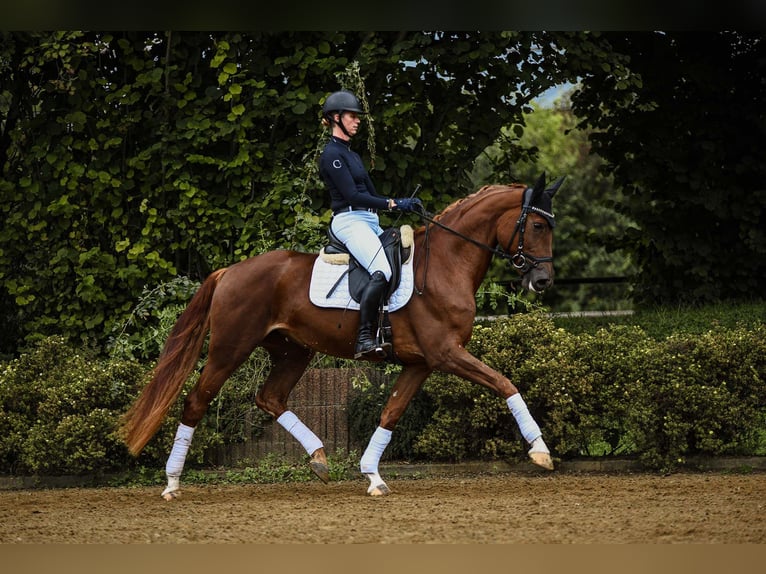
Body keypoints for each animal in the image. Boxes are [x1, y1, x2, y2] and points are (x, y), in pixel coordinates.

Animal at [120, 174, 564, 500]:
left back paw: (319, 459)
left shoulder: (421, 363)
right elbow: (505, 383)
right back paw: (172, 483)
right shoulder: (446, 354)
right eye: (537, 225)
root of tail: (229, 271)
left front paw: (372, 476)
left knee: (270, 398)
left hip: (293, 351)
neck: (445, 262)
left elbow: (391, 413)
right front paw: (541, 452)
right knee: (196, 401)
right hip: (230, 349)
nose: (543, 281)